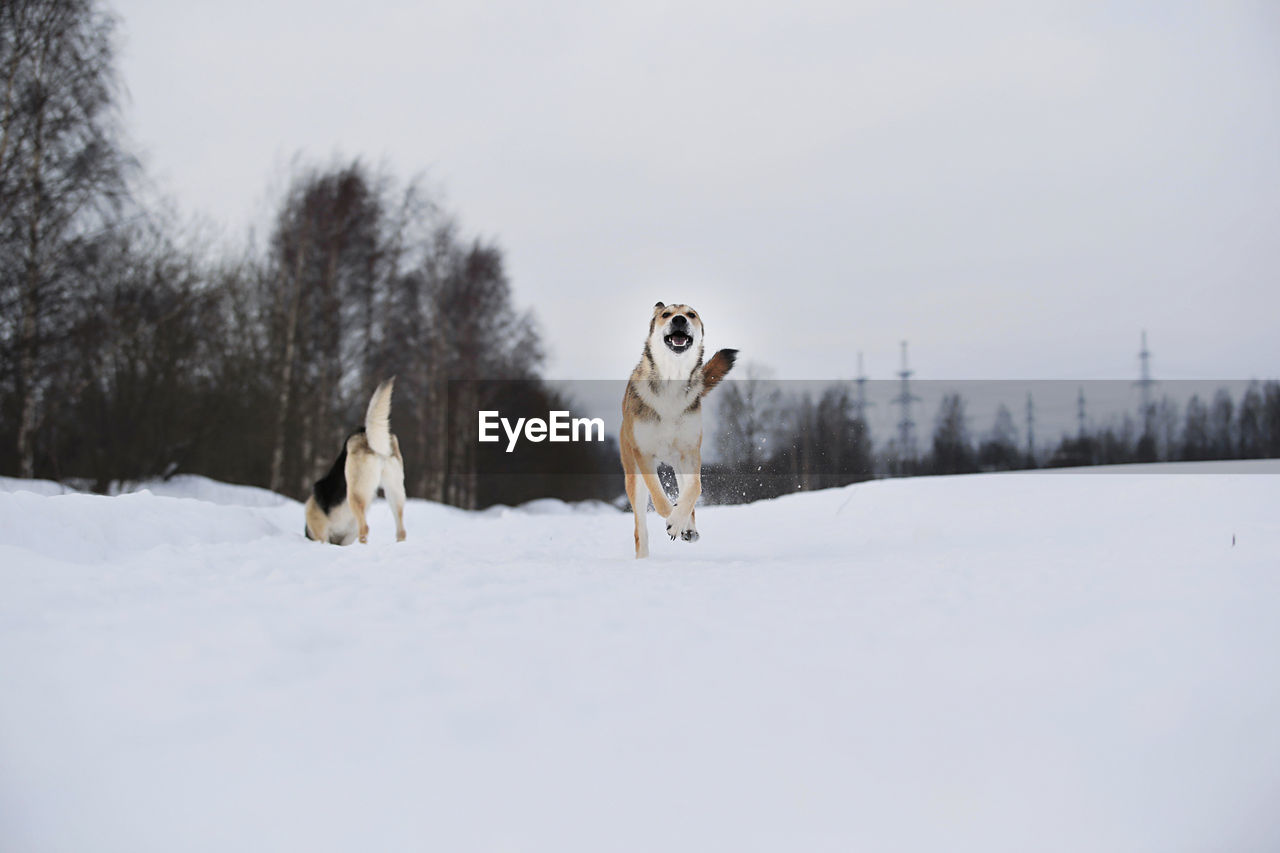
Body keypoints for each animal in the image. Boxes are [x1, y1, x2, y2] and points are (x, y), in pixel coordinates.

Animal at [303, 379, 407, 545]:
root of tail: (364, 432)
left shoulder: (322, 533)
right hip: (394, 492)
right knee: (401, 531)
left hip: (355, 494)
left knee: (365, 528)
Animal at [616, 300, 737, 558]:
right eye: (666, 314)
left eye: (691, 314)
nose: (679, 319)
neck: (672, 379)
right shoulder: (643, 453)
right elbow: (659, 496)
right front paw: (671, 517)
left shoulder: (690, 451)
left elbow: (695, 489)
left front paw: (680, 521)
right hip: (633, 473)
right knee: (640, 529)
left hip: (679, 460)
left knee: (686, 490)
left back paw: (688, 527)